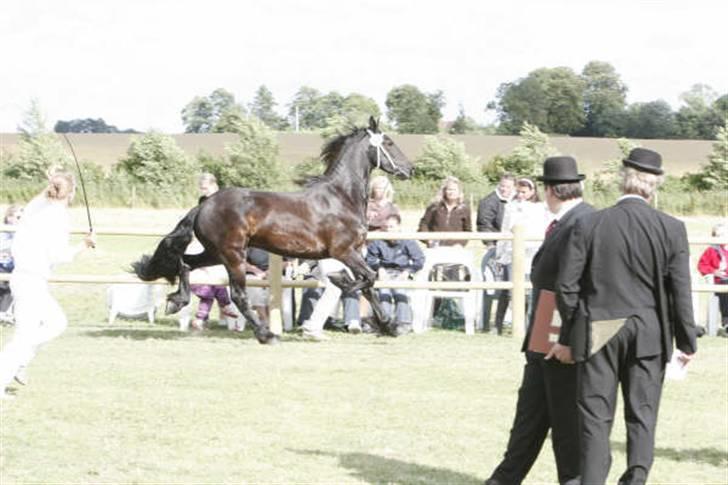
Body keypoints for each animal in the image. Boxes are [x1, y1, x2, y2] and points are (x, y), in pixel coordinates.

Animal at [132, 117, 412, 342]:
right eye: (388, 143)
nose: (410, 169)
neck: (341, 197)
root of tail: (203, 205)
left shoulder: (353, 252)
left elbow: (368, 284)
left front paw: (390, 327)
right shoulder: (343, 251)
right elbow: (368, 278)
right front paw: (341, 281)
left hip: (216, 252)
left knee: (186, 263)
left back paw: (176, 301)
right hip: (233, 255)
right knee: (238, 295)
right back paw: (266, 334)